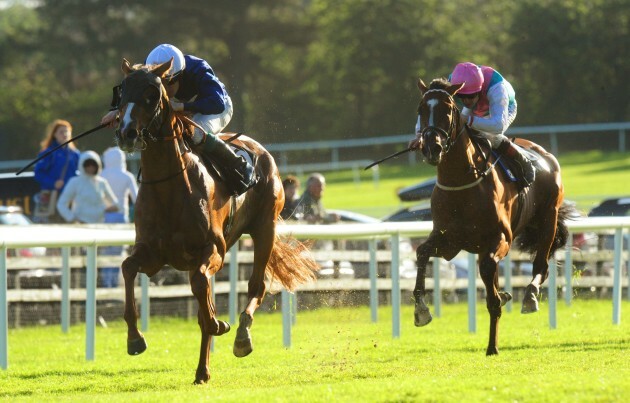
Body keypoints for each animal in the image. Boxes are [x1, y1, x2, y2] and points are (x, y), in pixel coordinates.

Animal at [112, 59, 320, 386]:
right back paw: (202, 371)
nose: (127, 133)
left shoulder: (213, 250)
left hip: (265, 228)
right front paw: (134, 338)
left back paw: (241, 336)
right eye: (122, 91)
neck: (168, 186)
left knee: (257, 285)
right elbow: (128, 268)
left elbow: (202, 293)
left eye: (151, 94)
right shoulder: (152, 253)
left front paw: (219, 324)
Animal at [412, 77, 576, 356]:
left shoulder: (500, 240)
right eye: (421, 109)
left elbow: (491, 292)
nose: (432, 147)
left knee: (541, 265)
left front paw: (493, 345)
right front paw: (421, 310)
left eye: (448, 109)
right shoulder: (449, 241)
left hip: (548, 220)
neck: (461, 183)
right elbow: (422, 253)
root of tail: (545, 155)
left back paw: (529, 296)